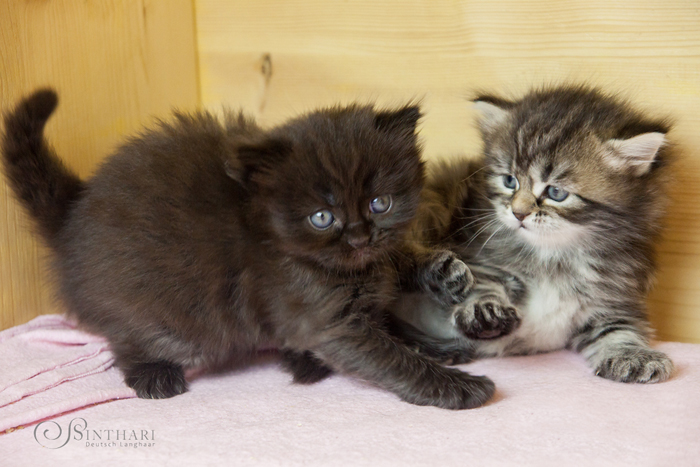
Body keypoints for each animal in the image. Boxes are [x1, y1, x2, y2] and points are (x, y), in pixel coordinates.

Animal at [1, 88, 492, 410]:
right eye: (322, 217)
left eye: (380, 203)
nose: (359, 237)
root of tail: (72, 216)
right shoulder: (327, 321)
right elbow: (392, 358)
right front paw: (455, 386)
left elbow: (396, 278)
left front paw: (442, 276)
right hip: (170, 316)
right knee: (127, 340)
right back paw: (154, 374)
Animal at [394, 85, 672, 384]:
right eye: (509, 181)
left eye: (556, 193)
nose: (518, 213)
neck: (554, 255)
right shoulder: (476, 252)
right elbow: (480, 285)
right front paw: (485, 310)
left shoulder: (613, 296)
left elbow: (620, 329)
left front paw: (632, 355)